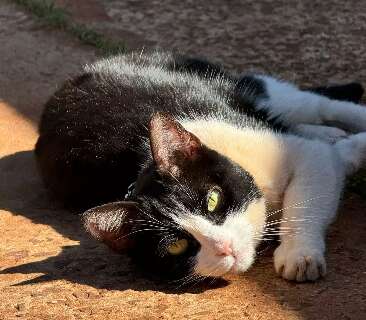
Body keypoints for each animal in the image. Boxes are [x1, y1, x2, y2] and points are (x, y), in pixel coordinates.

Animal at [35, 52, 366, 282]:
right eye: (177, 246)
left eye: (213, 200)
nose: (225, 247)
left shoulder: (303, 155)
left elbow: (307, 196)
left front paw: (299, 254)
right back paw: (328, 133)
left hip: (241, 89)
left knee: (319, 106)